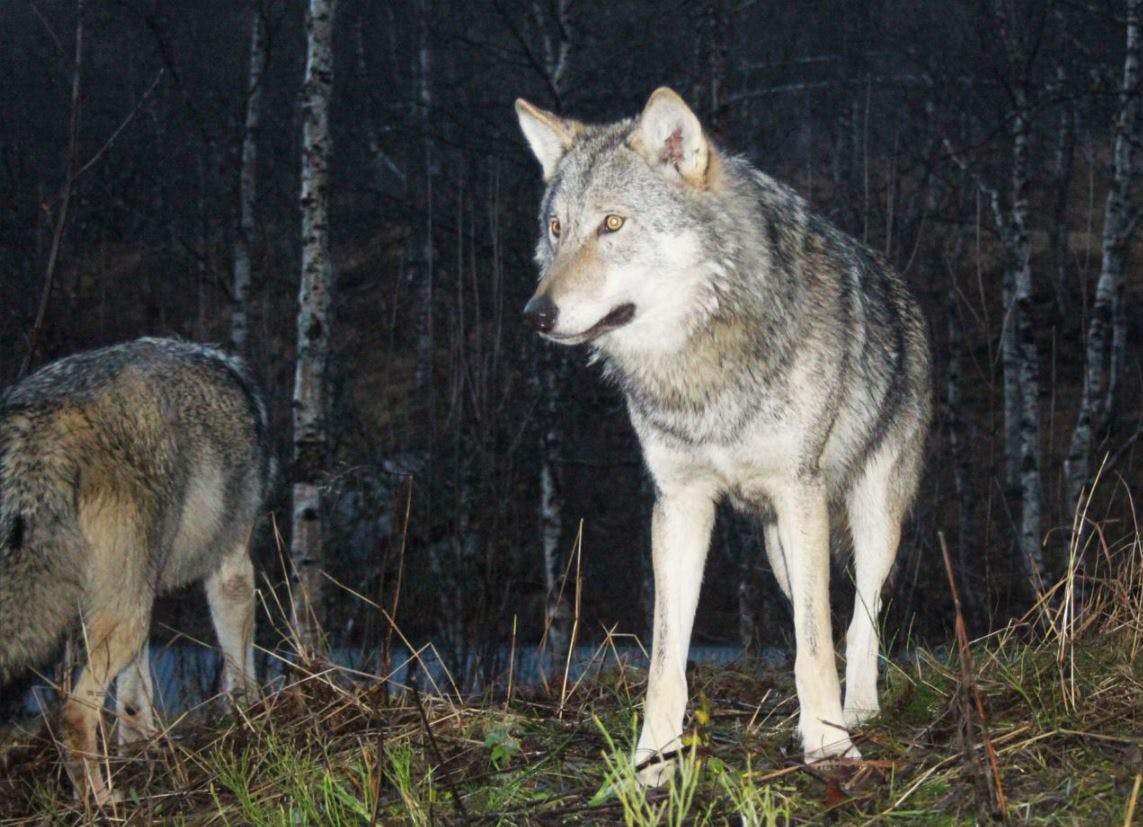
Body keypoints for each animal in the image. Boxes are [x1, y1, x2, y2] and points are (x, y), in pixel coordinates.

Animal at [0, 338, 272, 799]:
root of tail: (41, 422)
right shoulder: (231, 566)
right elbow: (240, 665)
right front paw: (250, 717)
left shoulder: (143, 596)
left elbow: (132, 697)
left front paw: (139, 749)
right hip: (124, 616)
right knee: (75, 713)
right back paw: (100, 800)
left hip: (123, 607)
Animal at [516, 89, 928, 781]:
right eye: (556, 228)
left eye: (613, 225)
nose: (536, 316)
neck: (699, 365)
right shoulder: (680, 503)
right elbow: (666, 660)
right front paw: (653, 761)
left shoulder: (798, 492)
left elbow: (818, 644)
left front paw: (829, 745)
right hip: (779, 545)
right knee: (815, 617)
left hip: (870, 517)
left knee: (859, 620)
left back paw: (859, 710)